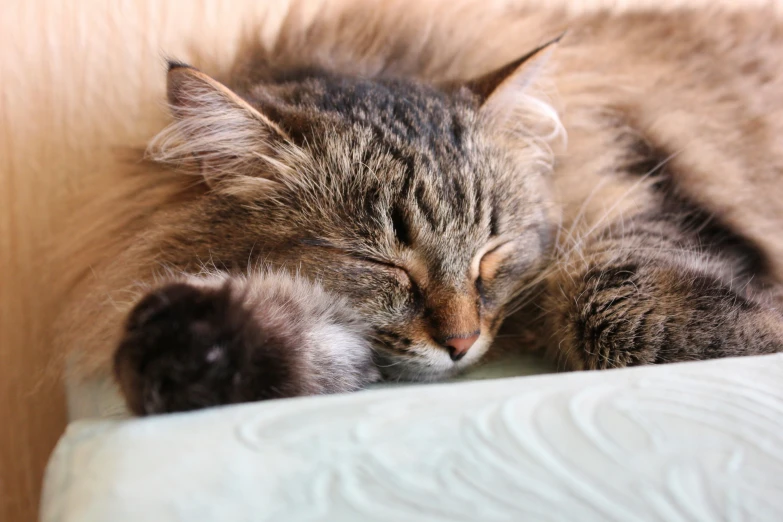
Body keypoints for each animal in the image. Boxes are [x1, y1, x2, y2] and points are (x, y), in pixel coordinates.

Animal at [58, 1, 783, 414]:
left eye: (491, 253)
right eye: (384, 267)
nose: (461, 344)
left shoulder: (629, 206)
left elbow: (614, 303)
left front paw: (765, 326)